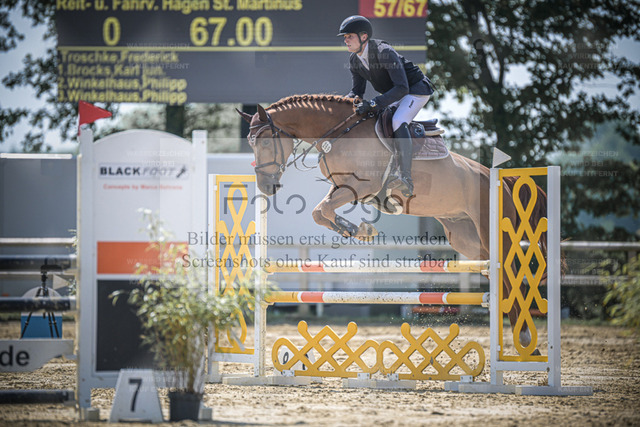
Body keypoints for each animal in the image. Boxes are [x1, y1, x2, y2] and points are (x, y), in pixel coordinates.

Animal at [237, 94, 548, 354]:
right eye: (251, 143)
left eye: (266, 141)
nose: (265, 186)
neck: (339, 133)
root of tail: (503, 180)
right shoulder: (341, 187)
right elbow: (319, 212)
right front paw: (356, 230)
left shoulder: (360, 186)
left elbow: (321, 210)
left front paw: (359, 230)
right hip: (467, 239)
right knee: (498, 275)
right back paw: (525, 342)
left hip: (491, 231)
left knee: (512, 276)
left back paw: (525, 341)